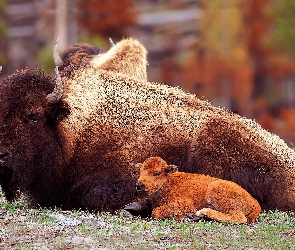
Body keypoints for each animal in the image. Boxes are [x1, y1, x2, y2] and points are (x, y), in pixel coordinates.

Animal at [126, 157, 262, 224]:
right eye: (141, 171)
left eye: (156, 173)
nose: (139, 185)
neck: (169, 182)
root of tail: (253, 201)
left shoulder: (186, 204)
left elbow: (156, 211)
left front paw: (185, 217)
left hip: (216, 190)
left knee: (239, 217)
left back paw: (203, 213)